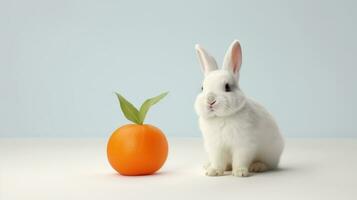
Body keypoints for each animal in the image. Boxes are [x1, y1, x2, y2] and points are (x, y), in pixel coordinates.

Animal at [193, 39, 282, 177]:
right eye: (202, 88)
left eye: (227, 87)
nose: (210, 100)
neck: (221, 118)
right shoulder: (215, 147)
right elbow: (217, 161)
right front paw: (213, 171)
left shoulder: (244, 145)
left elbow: (240, 159)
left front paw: (240, 172)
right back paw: (211, 165)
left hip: (270, 154)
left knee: (268, 164)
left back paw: (257, 167)